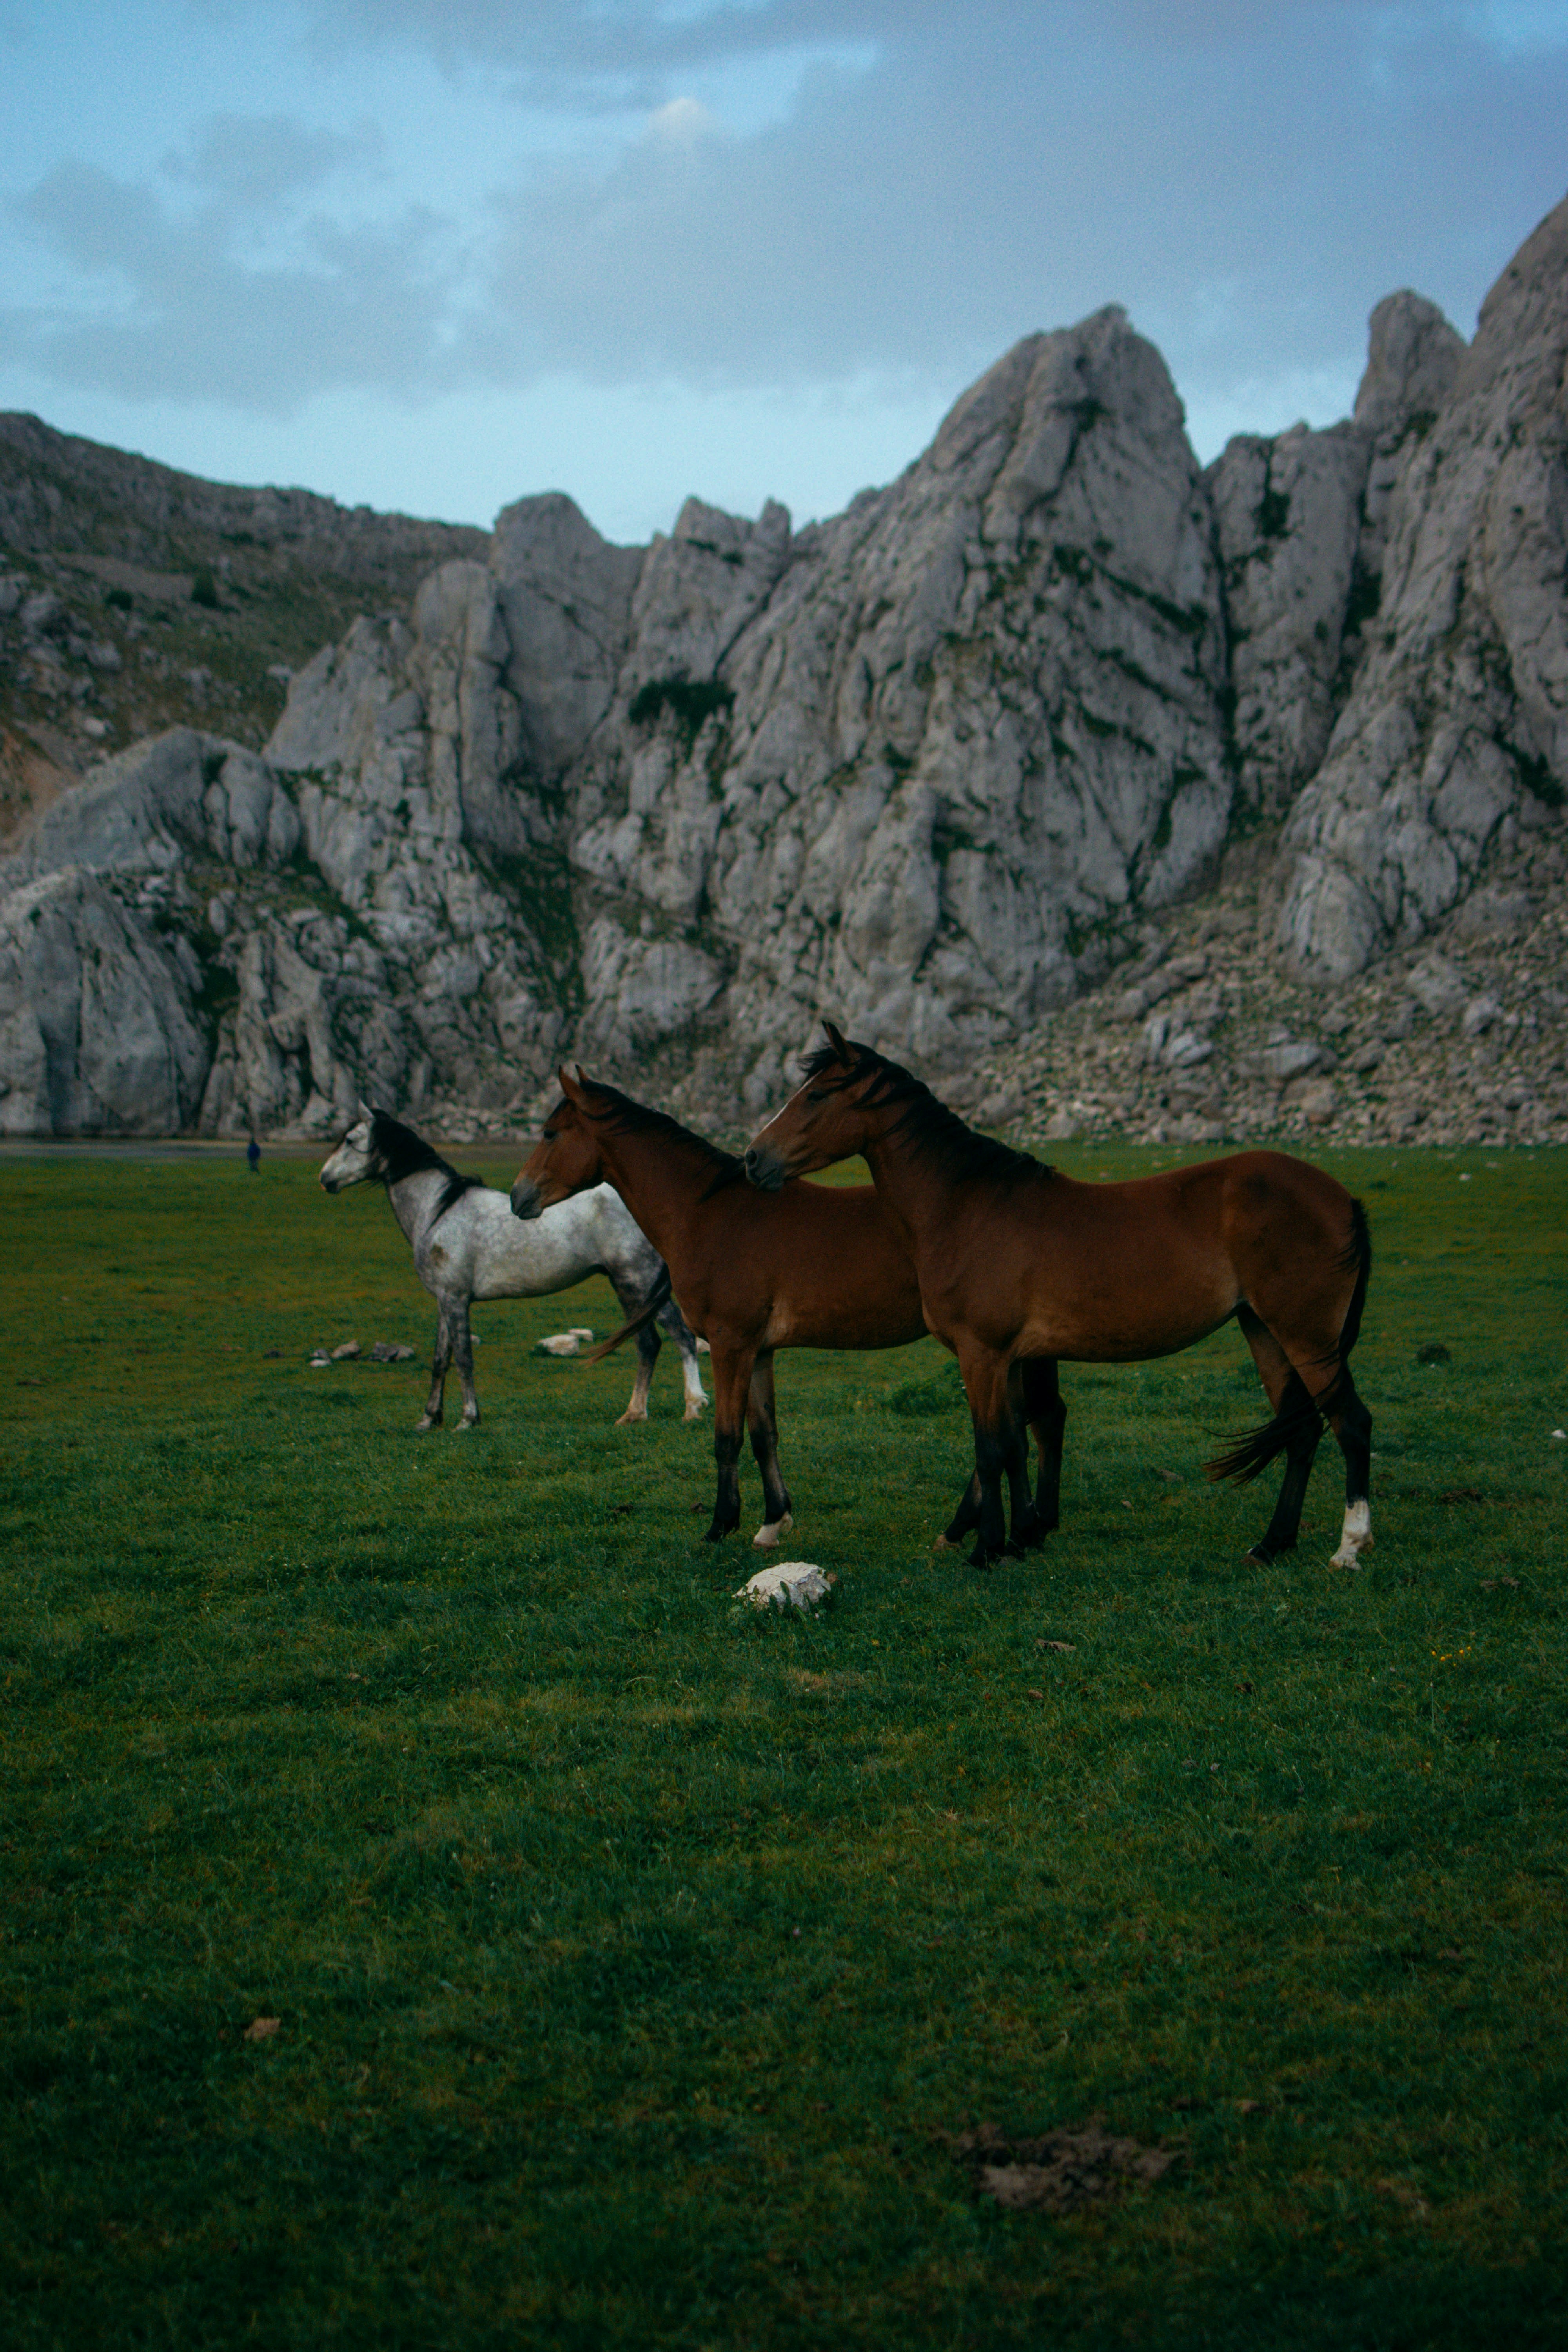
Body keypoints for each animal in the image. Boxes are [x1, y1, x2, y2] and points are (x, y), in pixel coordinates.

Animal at [319, 1108, 707, 1432]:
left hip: (637, 1282)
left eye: (351, 1140)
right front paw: (429, 1419)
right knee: (649, 1344)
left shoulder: (456, 1300)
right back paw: (634, 1414)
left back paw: (692, 1409)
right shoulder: (444, 1300)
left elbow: (464, 1358)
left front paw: (468, 1419)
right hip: (628, 1288)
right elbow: (440, 1359)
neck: (438, 1211)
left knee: (680, 1337)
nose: (324, 1179)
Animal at [508, 1071, 927, 1547]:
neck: (710, 1215)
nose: (517, 1196)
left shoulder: (731, 1345)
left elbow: (727, 1437)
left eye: (550, 1133)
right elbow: (765, 1435)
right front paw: (774, 1520)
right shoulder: (759, 1351)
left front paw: (721, 1523)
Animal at [744, 1025, 1374, 1574]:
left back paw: (1348, 1549)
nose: (753, 1158)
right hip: (1264, 1332)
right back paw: (1271, 1545)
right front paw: (1017, 1538)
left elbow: (990, 1449)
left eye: (816, 1095)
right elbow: (1015, 1444)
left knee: (1351, 1423)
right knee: (1301, 1431)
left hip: (1306, 1337)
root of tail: (1341, 1196)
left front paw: (986, 1550)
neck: (966, 1206)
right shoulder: (1012, 1358)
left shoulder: (982, 1354)